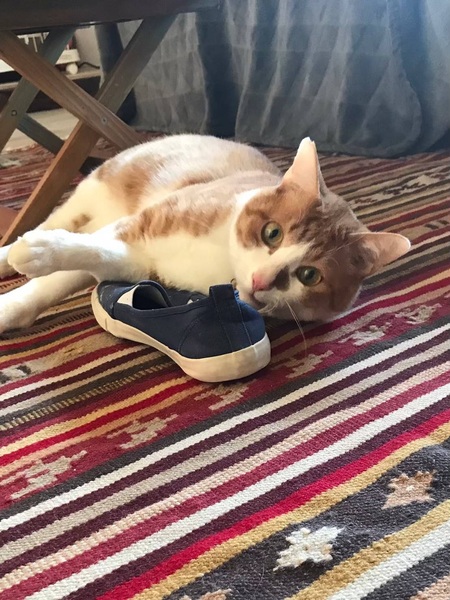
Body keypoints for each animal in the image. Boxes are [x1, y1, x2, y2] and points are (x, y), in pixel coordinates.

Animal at [0, 134, 410, 333]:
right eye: (272, 233)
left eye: (310, 275)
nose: (262, 280)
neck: (218, 260)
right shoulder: (141, 224)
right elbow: (68, 262)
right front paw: (32, 258)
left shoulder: (137, 263)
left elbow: (96, 257)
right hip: (93, 192)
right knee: (56, 221)